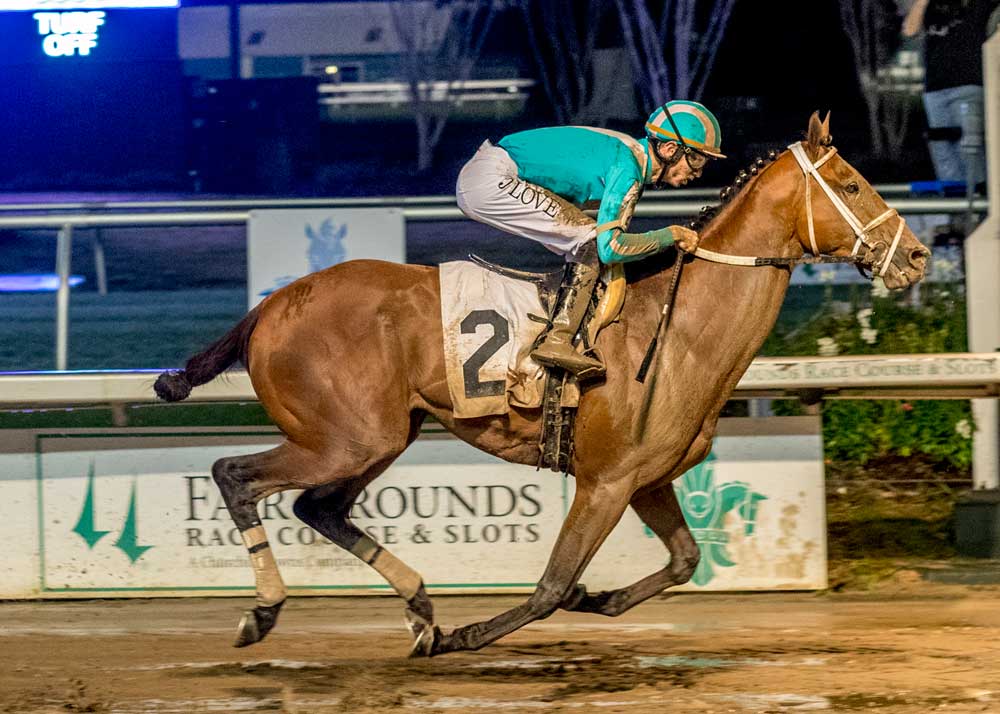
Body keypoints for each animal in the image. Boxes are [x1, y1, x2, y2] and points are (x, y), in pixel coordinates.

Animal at [154, 114, 928, 652]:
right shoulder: (606, 481)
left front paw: (597, 599)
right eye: (852, 184)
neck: (678, 329)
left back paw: (420, 608)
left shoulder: (646, 478)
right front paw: (473, 634)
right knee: (235, 476)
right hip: (344, 437)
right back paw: (266, 611)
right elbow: (552, 585)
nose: (917, 257)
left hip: (383, 435)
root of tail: (271, 305)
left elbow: (683, 560)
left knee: (319, 508)